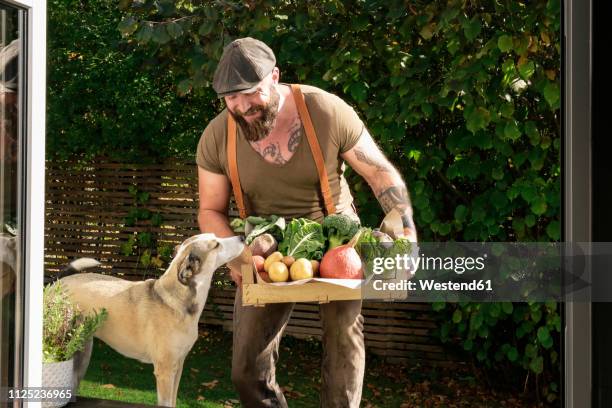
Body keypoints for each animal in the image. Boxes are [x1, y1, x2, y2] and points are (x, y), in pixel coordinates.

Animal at [59, 234, 245, 406]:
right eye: (216, 244)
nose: (242, 237)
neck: (177, 300)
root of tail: (60, 281)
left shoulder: (178, 366)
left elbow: (173, 401)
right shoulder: (165, 370)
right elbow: (166, 403)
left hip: (83, 351)